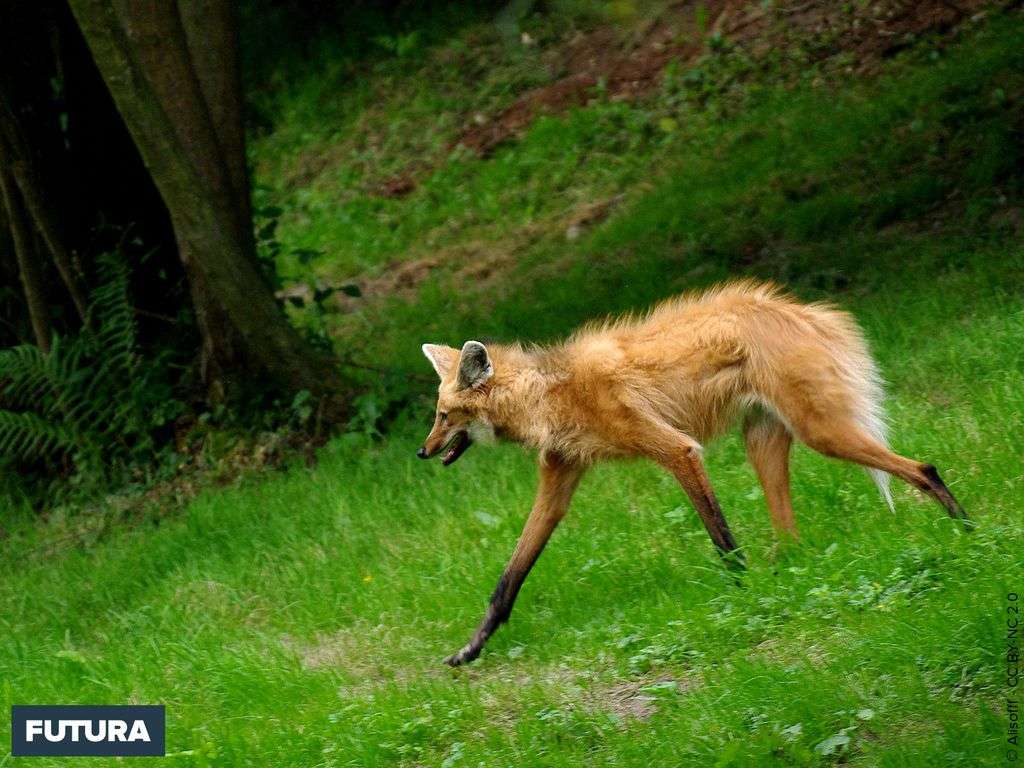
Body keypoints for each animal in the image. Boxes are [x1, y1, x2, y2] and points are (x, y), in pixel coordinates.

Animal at [417, 282, 966, 667]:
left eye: (443, 416)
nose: (423, 452)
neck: (549, 394)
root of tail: (808, 311)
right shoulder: (560, 478)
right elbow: (507, 581)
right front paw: (470, 649)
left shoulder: (678, 450)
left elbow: (724, 543)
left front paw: (747, 598)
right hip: (764, 442)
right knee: (790, 536)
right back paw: (793, 570)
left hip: (821, 432)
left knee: (923, 468)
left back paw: (966, 533)